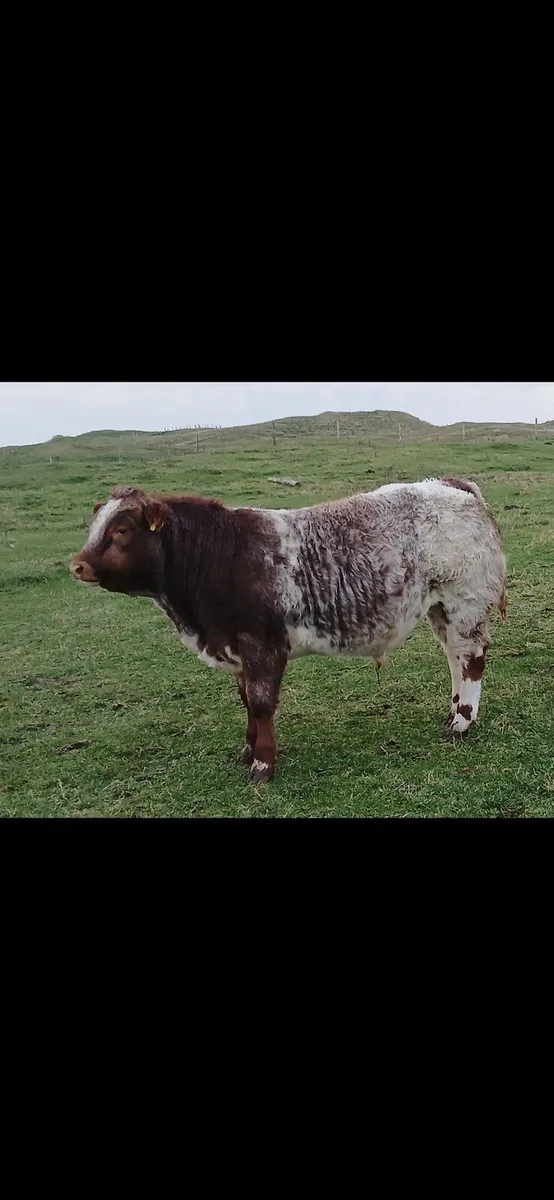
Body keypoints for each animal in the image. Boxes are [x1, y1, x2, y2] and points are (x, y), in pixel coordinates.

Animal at [70, 478, 507, 783]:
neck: (220, 557)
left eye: (122, 530)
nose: (78, 565)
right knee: (453, 657)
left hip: (464, 602)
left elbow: (262, 704)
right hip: (440, 608)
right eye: (95, 524)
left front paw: (263, 764)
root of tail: (450, 485)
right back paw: (452, 712)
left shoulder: (262, 646)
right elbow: (247, 702)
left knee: (470, 659)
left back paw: (461, 722)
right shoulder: (238, 651)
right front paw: (247, 752)